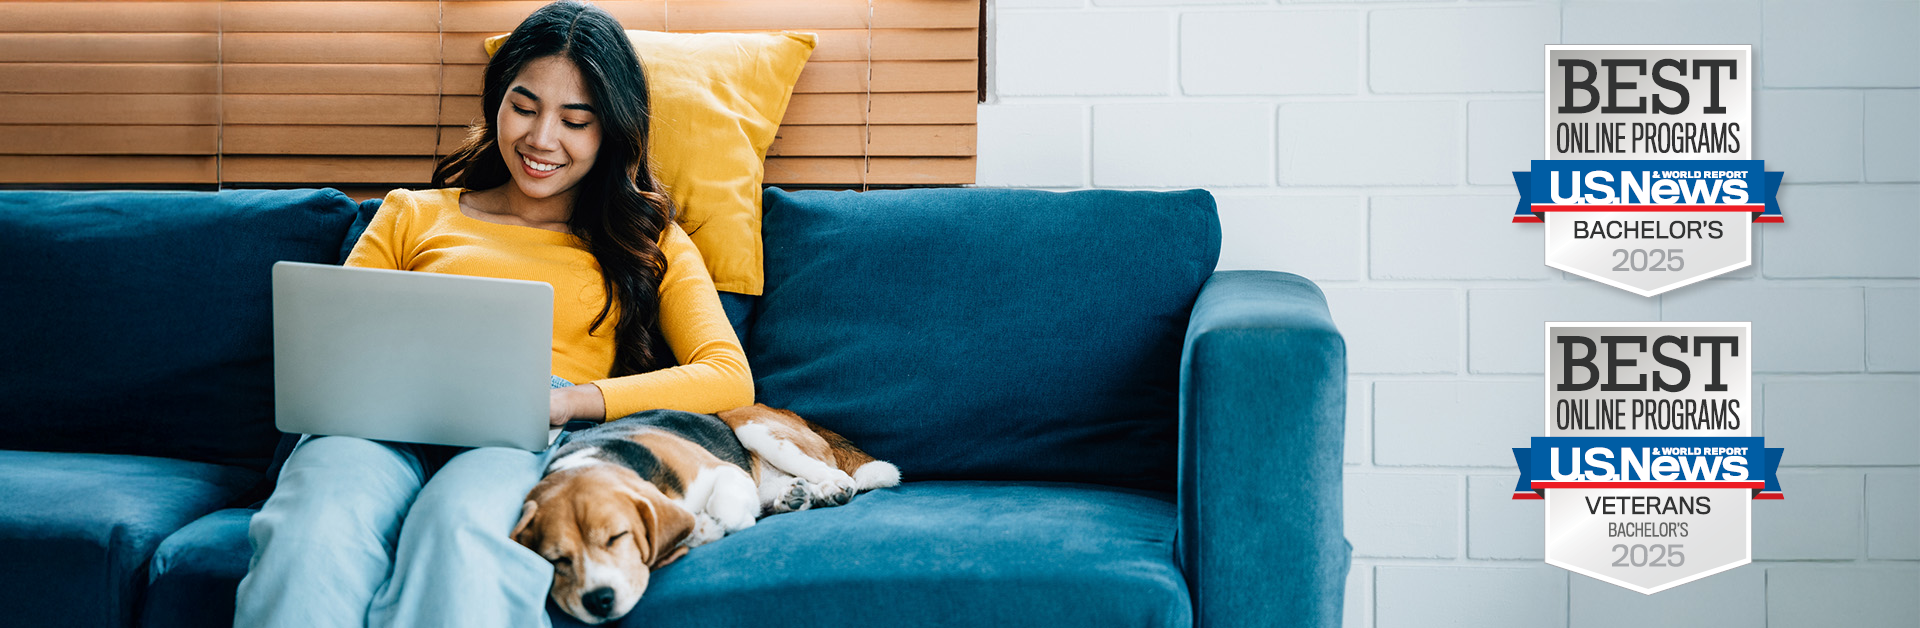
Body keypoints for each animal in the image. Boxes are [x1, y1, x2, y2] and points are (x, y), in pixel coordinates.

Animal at [510, 403, 898, 626]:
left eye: (616, 537)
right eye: (556, 561)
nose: (598, 600)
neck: (594, 457)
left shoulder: (726, 474)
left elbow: (724, 513)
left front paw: (706, 526)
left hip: (753, 428)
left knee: (837, 475)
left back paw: (830, 489)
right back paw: (795, 497)